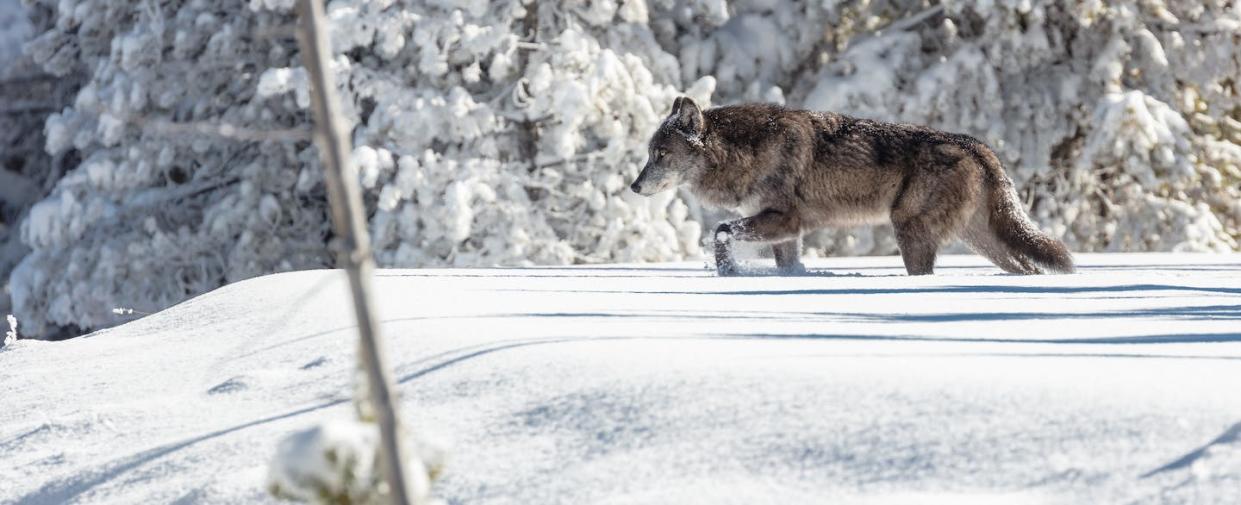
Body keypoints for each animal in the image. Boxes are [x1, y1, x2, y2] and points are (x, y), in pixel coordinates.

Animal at [630, 96, 1077, 275]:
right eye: (649, 153)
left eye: (661, 155)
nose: (634, 187)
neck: (745, 151)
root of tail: (977, 146)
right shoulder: (787, 232)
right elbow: (785, 264)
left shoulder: (784, 219)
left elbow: (720, 232)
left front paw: (729, 273)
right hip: (980, 241)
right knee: (1026, 268)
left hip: (911, 231)